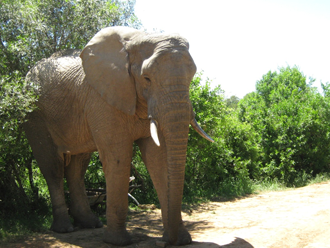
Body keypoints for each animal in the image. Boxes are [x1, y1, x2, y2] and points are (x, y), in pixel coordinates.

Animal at [23, 26, 214, 245]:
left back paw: (90, 224)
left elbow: (158, 160)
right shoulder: (103, 100)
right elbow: (118, 159)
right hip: (34, 115)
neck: (138, 39)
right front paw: (118, 242)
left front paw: (182, 240)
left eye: (192, 76)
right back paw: (64, 229)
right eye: (146, 78)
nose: (167, 242)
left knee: (78, 167)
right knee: (52, 167)